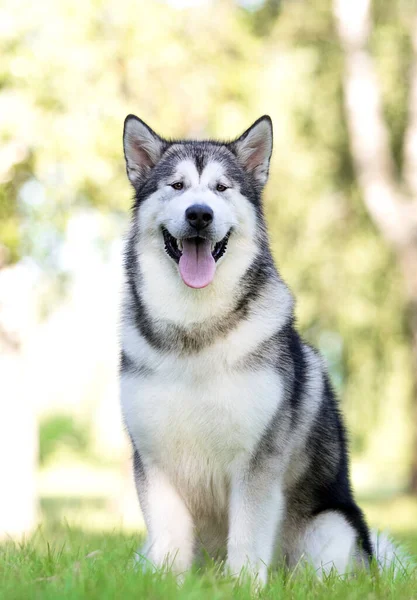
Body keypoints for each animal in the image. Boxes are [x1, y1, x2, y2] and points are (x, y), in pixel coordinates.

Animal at [119, 112, 400, 580]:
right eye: (176, 186)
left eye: (221, 188)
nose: (199, 214)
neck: (196, 330)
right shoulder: (154, 461)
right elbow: (169, 543)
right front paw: (167, 583)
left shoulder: (258, 461)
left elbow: (248, 538)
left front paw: (243, 584)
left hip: (331, 530)